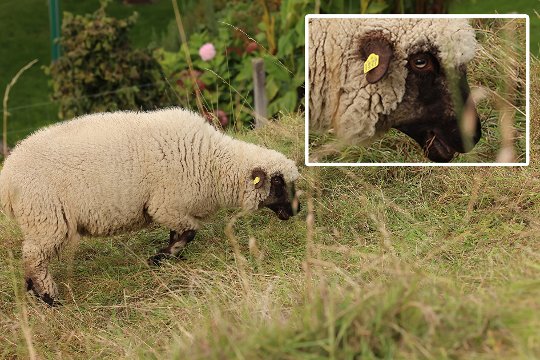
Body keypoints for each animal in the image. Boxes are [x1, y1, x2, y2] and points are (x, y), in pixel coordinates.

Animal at [0, 108, 300, 306]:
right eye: (277, 182)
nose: (296, 210)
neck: (215, 164)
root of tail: (7, 176)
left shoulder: (174, 208)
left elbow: (179, 232)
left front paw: (167, 257)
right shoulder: (165, 204)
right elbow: (189, 232)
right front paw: (161, 257)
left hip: (41, 222)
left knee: (32, 258)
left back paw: (32, 289)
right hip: (46, 218)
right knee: (34, 257)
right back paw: (48, 296)